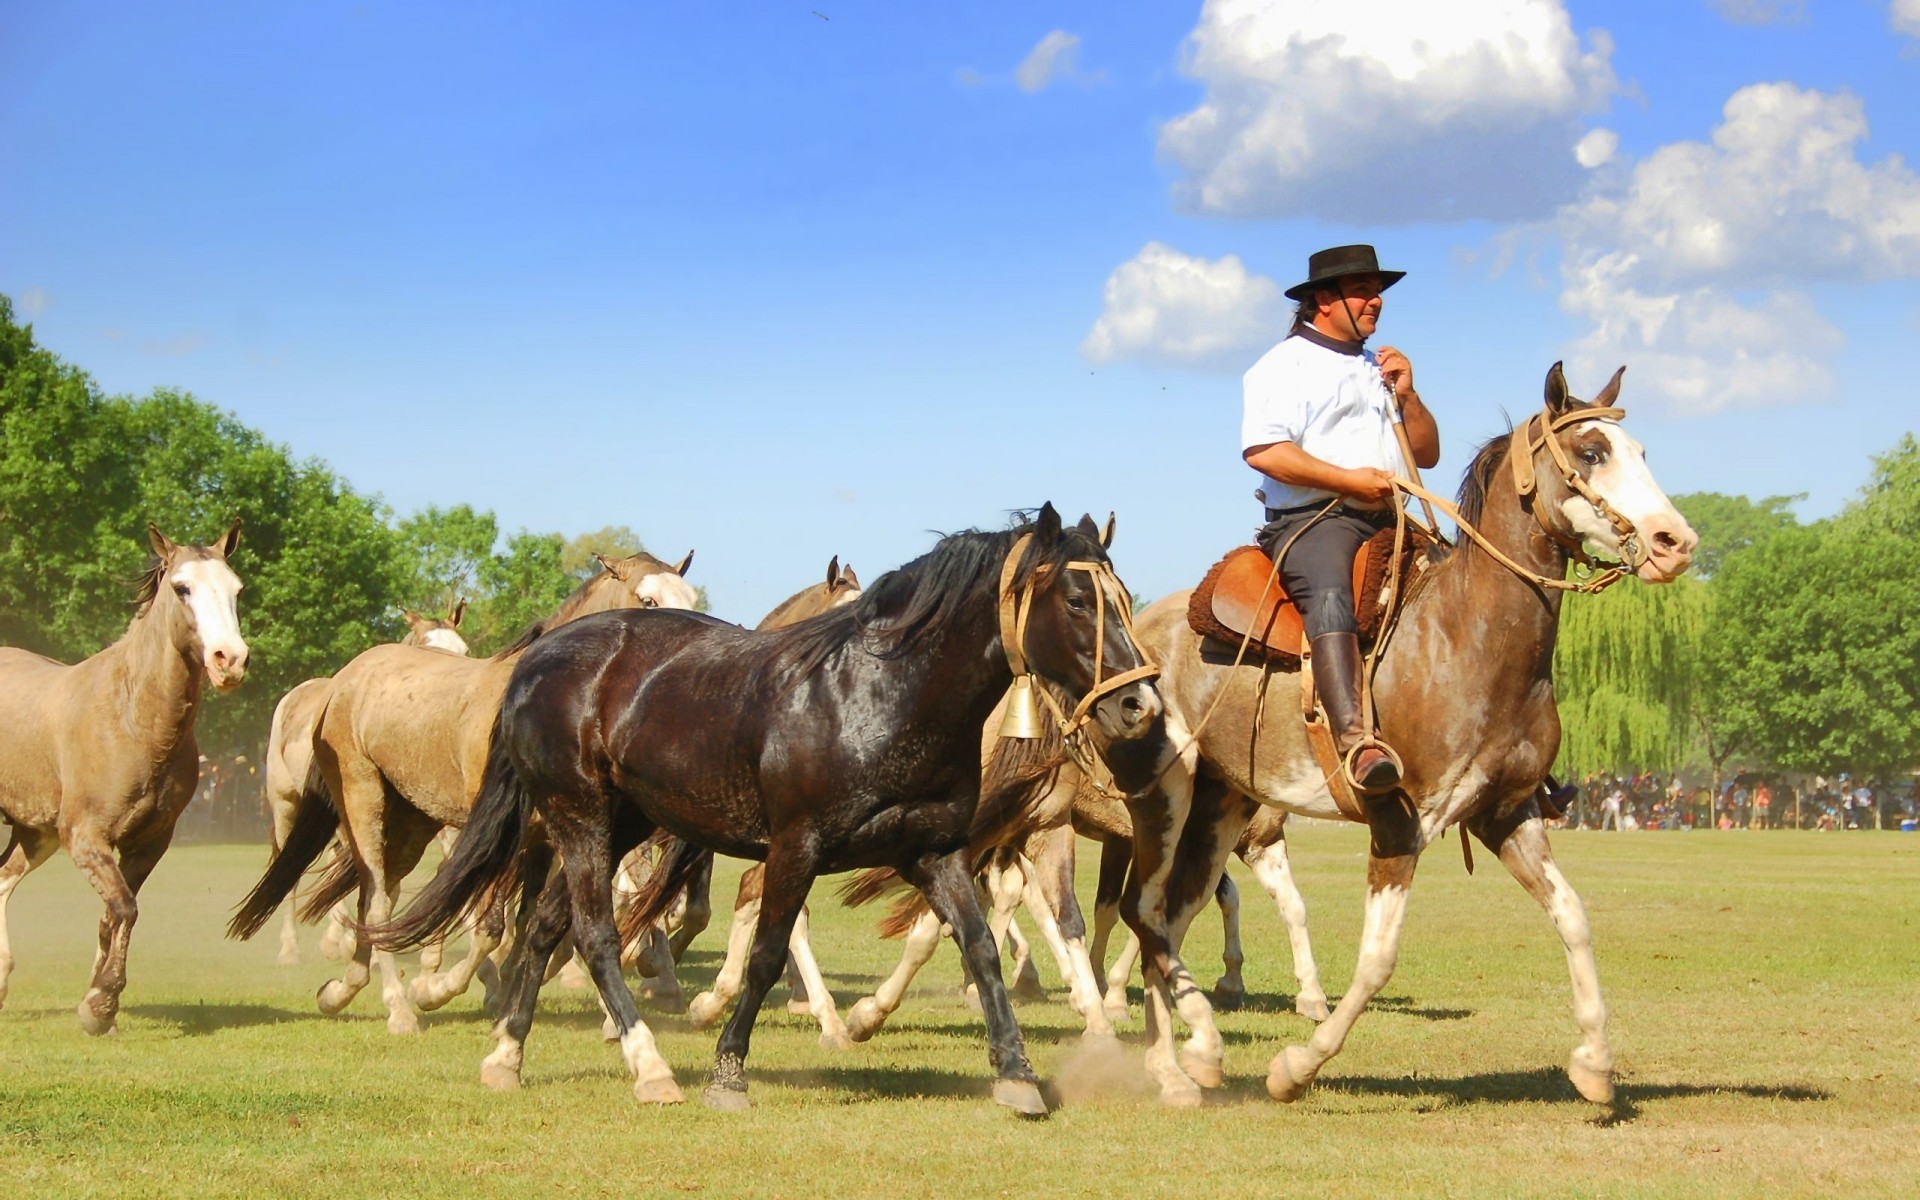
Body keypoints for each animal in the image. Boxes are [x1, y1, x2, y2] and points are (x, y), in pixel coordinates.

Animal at [0, 518, 247, 1036]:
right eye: (182, 587)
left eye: (236, 588)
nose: (230, 660)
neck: (132, 719)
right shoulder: (86, 839)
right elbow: (124, 908)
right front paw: (101, 1004)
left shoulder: (147, 843)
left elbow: (113, 915)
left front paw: (96, 1004)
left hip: (34, 832)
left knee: (2, 879)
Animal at [372, 503, 1152, 1113]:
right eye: (1078, 603)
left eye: (1123, 598)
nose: (1139, 704)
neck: (880, 695)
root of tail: (539, 661)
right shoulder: (796, 847)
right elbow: (768, 953)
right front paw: (728, 1072)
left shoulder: (933, 851)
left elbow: (979, 945)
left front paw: (1017, 1074)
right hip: (580, 819)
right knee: (592, 936)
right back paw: (649, 1066)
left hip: (619, 824)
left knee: (542, 928)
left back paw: (506, 1056)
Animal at [1121, 362, 1697, 1105]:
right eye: (1593, 451)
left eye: (1641, 451)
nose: (1675, 542)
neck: (1470, 639)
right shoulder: (1399, 822)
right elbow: (1377, 960)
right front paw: (1296, 1067)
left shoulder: (1507, 813)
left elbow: (1573, 916)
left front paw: (1595, 1064)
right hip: (1166, 796)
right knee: (1145, 911)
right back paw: (1180, 1057)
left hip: (1226, 803)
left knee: (1171, 913)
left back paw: (1183, 1059)